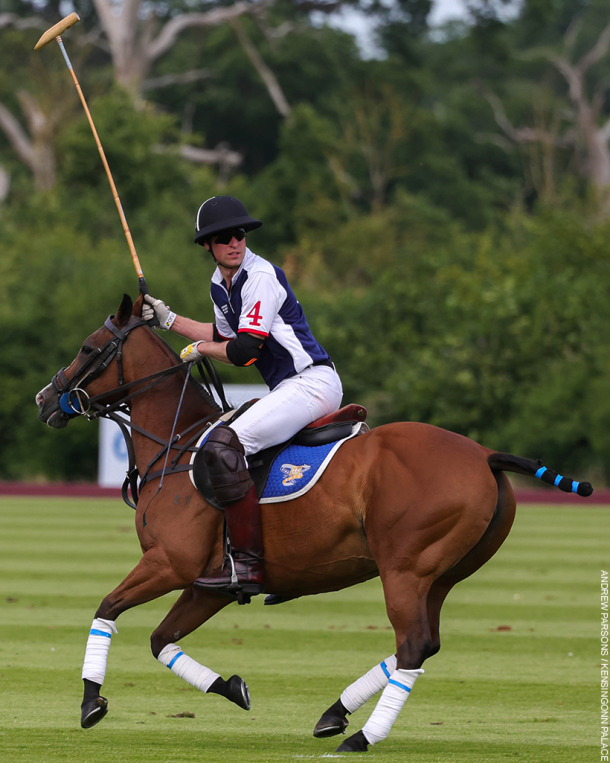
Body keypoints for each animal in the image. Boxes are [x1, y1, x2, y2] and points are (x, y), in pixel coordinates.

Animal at [35, 296, 592, 756]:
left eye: (88, 348)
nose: (45, 399)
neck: (179, 445)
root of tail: (485, 455)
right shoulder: (209, 585)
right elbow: (160, 639)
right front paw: (233, 688)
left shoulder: (171, 562)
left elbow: (107, 608)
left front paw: (91, 703)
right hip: (443, 574)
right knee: (421, 645)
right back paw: (334, 714)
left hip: (406, 568)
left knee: (412, 644)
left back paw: (361, 736)